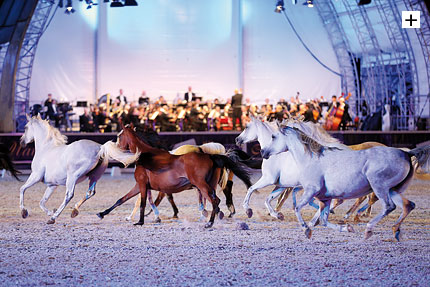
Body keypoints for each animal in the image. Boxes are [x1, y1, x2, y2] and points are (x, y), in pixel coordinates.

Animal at [96, 124, 252, 230]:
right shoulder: (140, 186)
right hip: (210, 185)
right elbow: (121, 199)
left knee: (216, 199)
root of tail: (209, 155)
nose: (115, 146)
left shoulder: (142, 185)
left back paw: (210, 222)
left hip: (201, 185)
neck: (144, 155)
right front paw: (102, 213)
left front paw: (140, 221)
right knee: (216, 199)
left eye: (119, 136)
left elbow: (142, 203)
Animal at [258, 120, 430, 241]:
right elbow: (323, 219)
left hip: (379, 187)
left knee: (389, 206)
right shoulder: (325, 198)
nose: (262, 152)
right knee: (408, 205)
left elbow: (297, 208)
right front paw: (346, 228)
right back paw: (395, 230)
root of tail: (406, 153)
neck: (311, 159)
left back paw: (368, 228)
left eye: (273, 136)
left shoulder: (311, 191)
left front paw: (306, 229)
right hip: (392, 189)